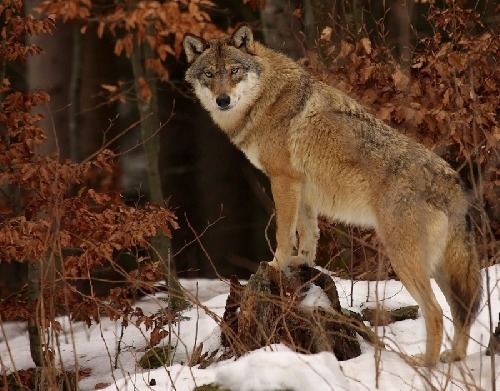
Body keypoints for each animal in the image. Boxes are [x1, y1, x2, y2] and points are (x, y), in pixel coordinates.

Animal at [184, 25, 480, 368]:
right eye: (209, 74)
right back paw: (452, 357)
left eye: (234, 71)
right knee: (461, 313)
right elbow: (309, 234)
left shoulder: (283, 180)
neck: (266, 99)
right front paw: (302, 263)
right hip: (440, 268)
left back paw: (425, 364)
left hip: (405, 260)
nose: (223, 99)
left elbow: (284, 233)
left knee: (436, 313)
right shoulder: (303, 189)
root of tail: (453, 180)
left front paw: (276, 263)